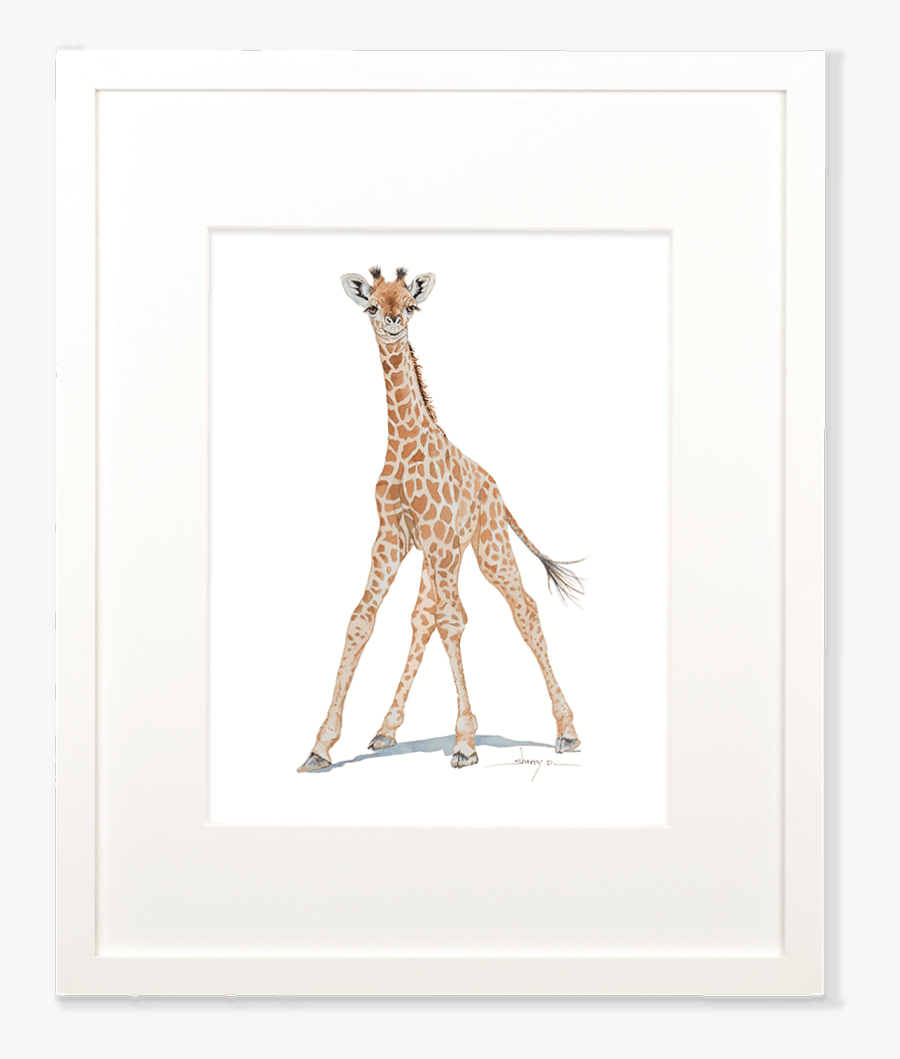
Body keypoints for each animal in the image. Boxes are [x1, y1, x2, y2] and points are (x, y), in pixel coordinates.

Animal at [298, 267, 583, 773]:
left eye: (410, 305)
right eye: (372, 306)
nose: (392, 323)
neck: (404, 444)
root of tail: (495, 488)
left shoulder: (435, 537)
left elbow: (454, 620)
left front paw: (465, 743)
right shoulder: (392, 536)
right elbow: (362, 619)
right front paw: (320, 746)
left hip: (486, 544)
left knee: (522, 609)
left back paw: (567, 732)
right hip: (446, 553)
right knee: (423, 617)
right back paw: (386, 729)